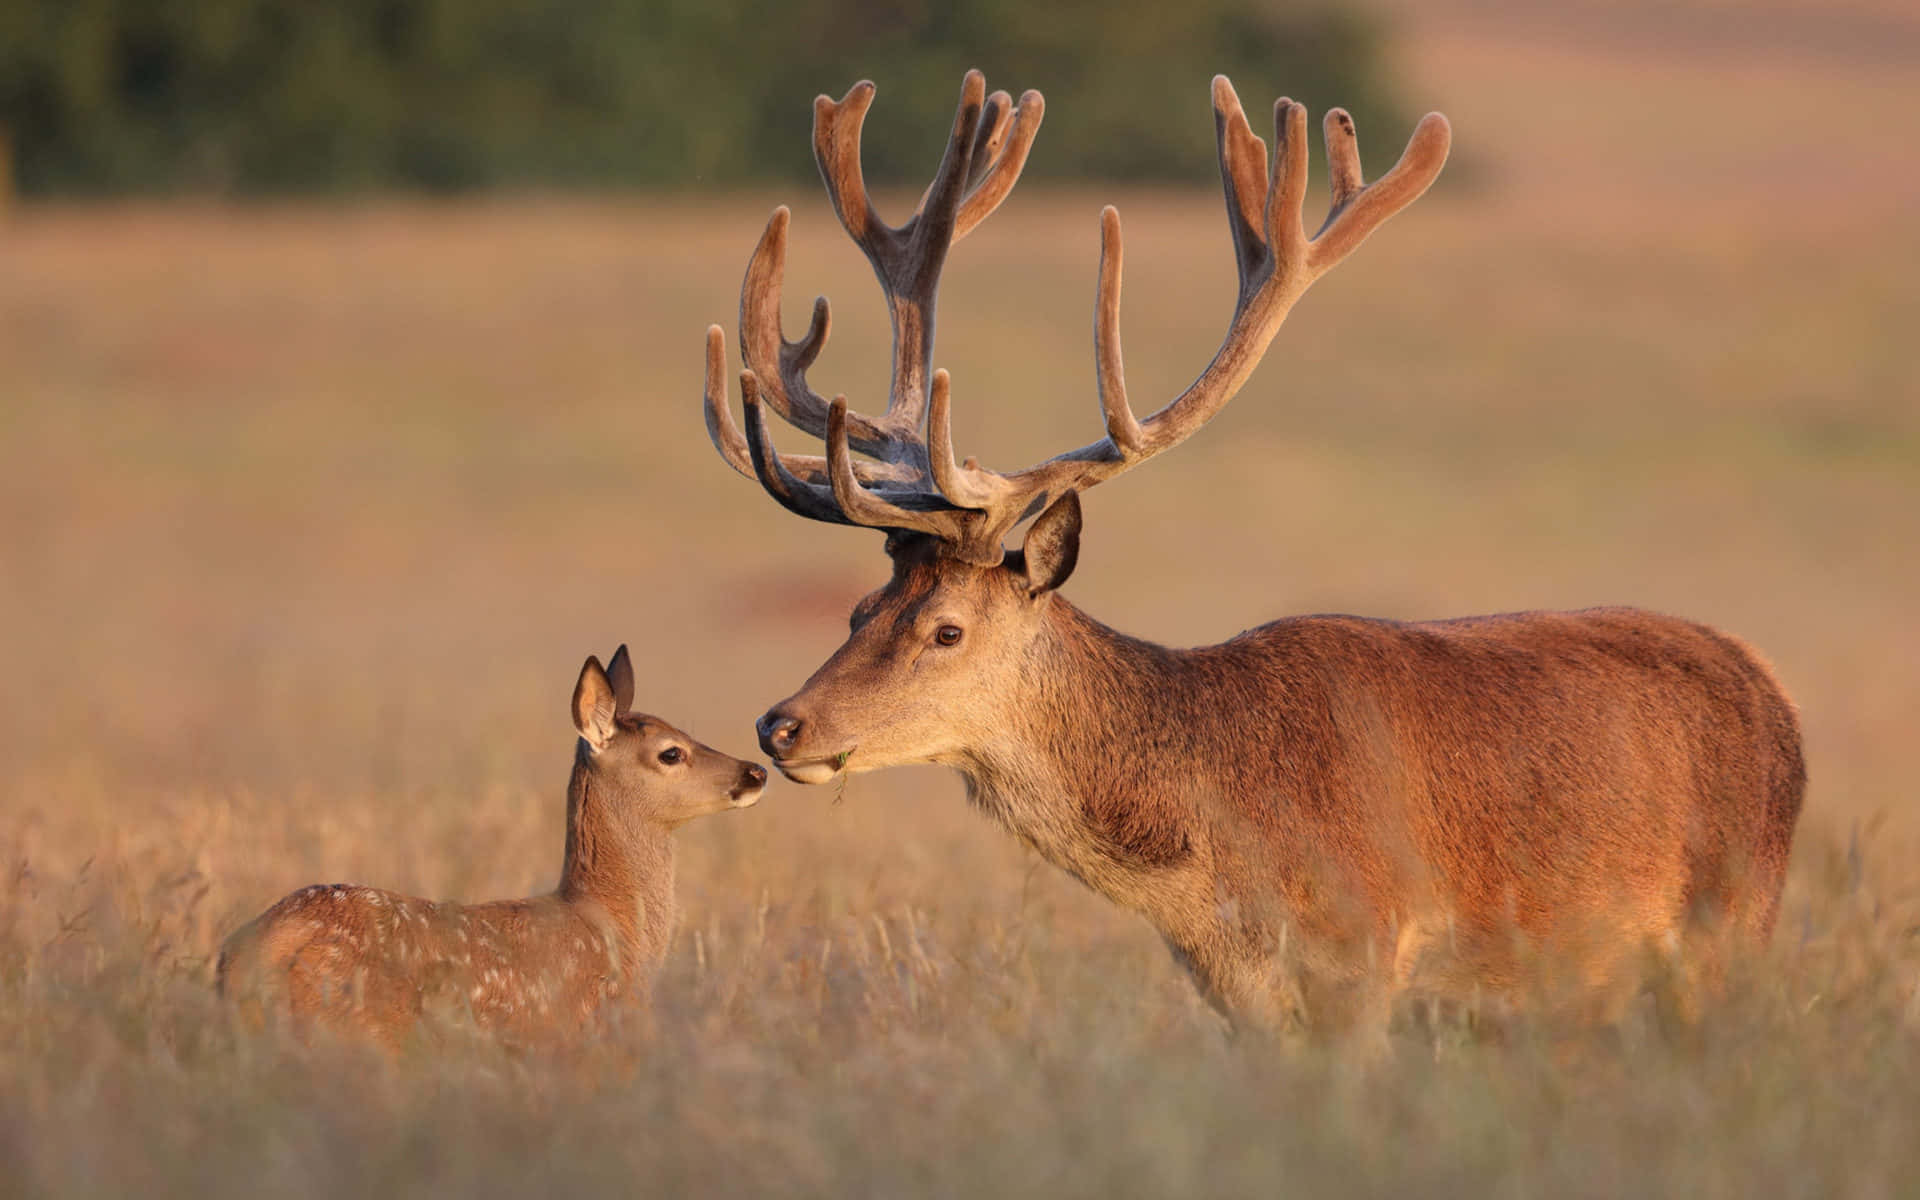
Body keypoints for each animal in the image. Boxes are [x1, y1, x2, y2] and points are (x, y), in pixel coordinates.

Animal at [698, 71, 1806, 1036]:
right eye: (857, 611)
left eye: (946, 629)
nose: (781, 724)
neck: (1216, 865)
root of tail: (1774, 692)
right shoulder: (1235, 994)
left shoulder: (1370, 949)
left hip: (1734, 923)